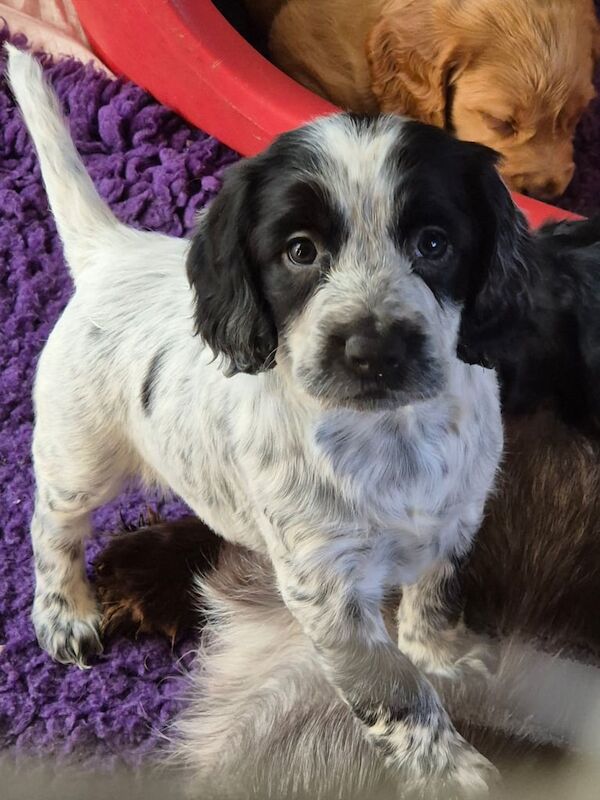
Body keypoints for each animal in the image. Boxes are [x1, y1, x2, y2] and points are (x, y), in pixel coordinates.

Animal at [10, 47, 536, 796]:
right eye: (299, 251)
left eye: (434, 244)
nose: (372, 350)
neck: (392, 436)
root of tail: (115, 251)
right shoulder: (329, 591)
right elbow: (396, 692)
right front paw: (452, 772)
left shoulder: (455, 521)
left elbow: (435, 596)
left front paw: (439, 651)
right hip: (79, 453)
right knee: (51, 526)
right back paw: (63, 612)